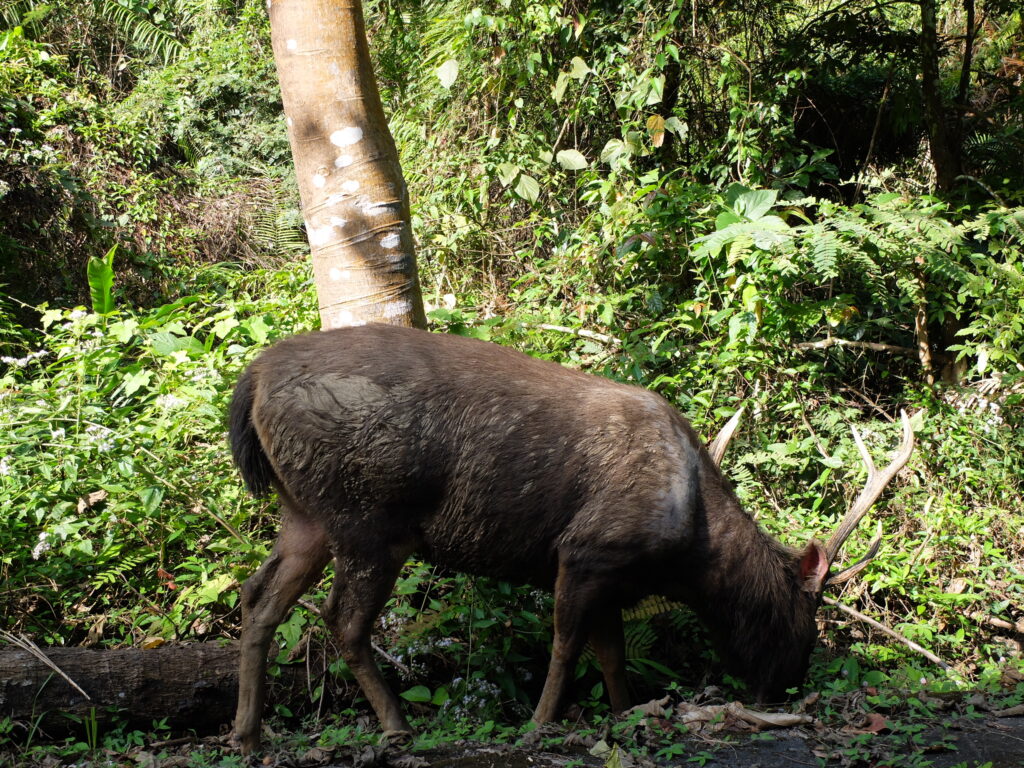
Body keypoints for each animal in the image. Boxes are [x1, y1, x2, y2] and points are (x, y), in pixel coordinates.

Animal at [227, 324, 914, 753]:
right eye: (804, 619)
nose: (786, 689)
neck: (688, 553)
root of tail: (252, 378)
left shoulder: (613, 576)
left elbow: (611, 656)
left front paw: (625, 714)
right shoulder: (586, 551)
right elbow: (566, 646)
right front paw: (539, 723)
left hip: (306, 513)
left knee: (258, 595)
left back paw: (247, 733)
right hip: (367, 516)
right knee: (341, 619)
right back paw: (395, 727)